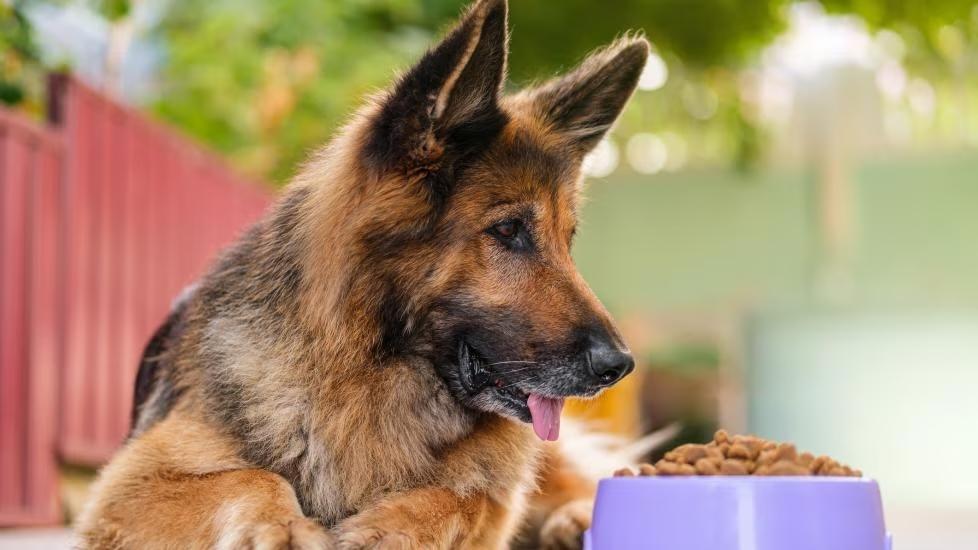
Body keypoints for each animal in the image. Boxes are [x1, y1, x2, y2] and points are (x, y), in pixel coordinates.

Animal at [76, 2, 648, 548]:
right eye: (509, 230)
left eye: (567, 240)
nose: (618, 367)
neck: (368, 377)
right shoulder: (131, 484)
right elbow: (252, 476)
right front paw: (286, 528)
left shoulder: (494, 496)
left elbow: (458, 496)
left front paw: (392, 527)